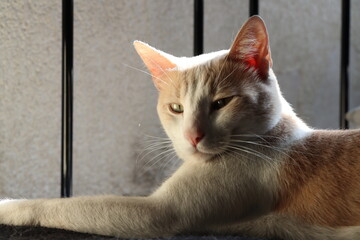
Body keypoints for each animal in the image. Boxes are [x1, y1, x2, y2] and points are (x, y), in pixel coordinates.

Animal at [0, 15, 360, 239]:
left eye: (221, 103)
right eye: (176, 108)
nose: (193, 136)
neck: (269, 136)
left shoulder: (158, 212)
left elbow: (62, 204)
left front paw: (7, 205)